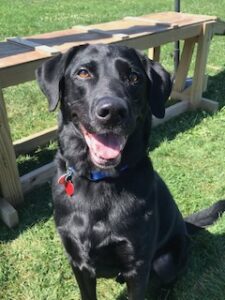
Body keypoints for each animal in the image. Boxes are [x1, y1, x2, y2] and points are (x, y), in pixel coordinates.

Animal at [36, 44, 225, 300]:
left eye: (134, 77)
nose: (113, 111)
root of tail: (185, 226)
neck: (100, 180)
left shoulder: (137, 265)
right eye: (83, 73)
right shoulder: (78, 261)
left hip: (164, 261)